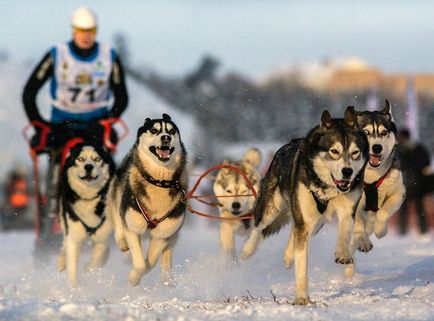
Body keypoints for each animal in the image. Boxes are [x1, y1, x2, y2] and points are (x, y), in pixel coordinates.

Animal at [57, 144, 115, 284]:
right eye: (80, 159)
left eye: (97, 159)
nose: (88, 166)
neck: (88, 198)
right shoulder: (73, 236)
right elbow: (72, 265)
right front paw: (73, 287)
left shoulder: (101, 239)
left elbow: (95, 262)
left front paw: (88, 271)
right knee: (64, 243)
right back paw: (61, 261)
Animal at [106, 113, 187, 284]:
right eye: (154, 130)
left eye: (172, 131)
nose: (166, 138)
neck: (159, 181)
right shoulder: (132, 226)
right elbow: (140, 263)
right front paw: (134, 278)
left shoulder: (164, 233)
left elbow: (151, 261)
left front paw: (138, 274)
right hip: (117, 196)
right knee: (118, 220)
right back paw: (122, 242)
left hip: (174, 231)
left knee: (167, 253)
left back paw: (167, 278)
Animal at [241, 106, 370, 304]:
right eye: (334, 151)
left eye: (355, 152)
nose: (347, 172)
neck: (328, 189)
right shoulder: (304, 218)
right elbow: (301, 265)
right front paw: (302, 299)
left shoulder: (347, 209)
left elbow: (345, 230)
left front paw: (342, 253)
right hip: (272, 207)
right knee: (259, 227)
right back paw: (248, 250)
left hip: (317, 222)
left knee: (295, 230)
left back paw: (288, 256)